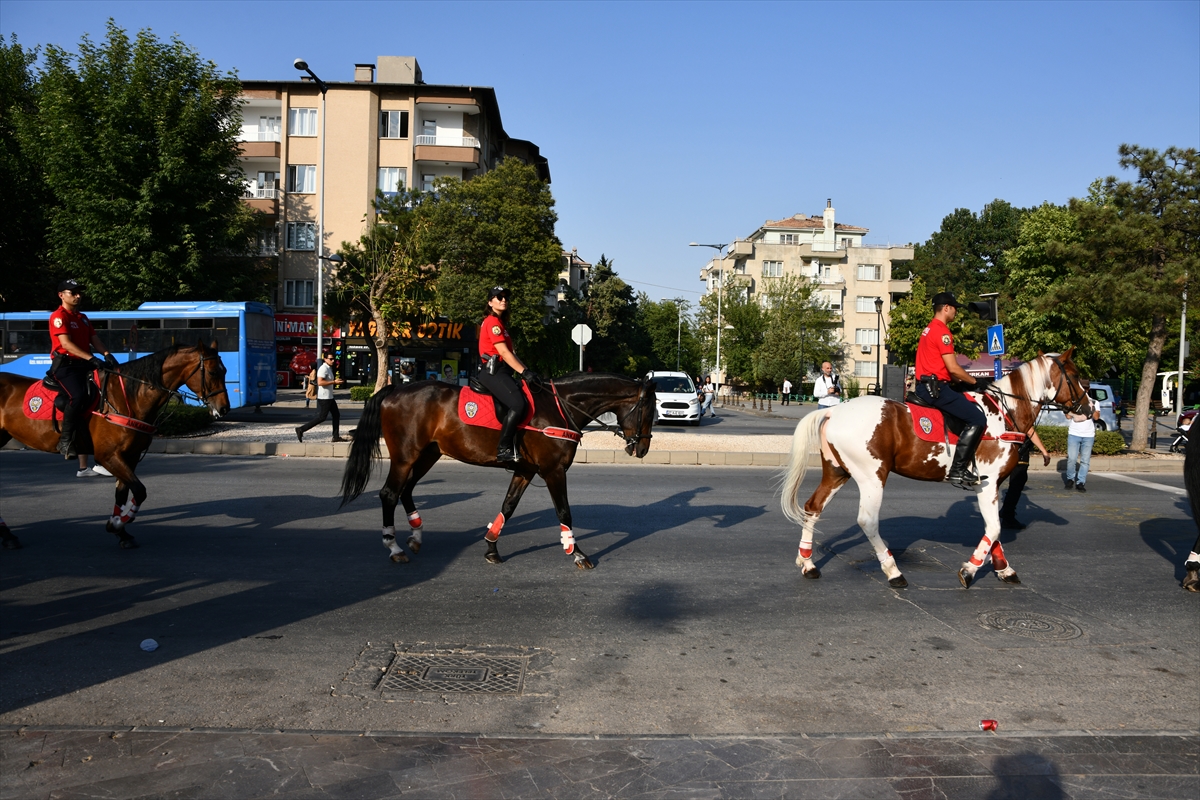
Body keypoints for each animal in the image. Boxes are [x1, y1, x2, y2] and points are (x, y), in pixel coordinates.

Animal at [0, 345, 229, 551]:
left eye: (225, 370)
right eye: (213, 372)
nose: (225, 408)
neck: (127, 398)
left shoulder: (130, 456)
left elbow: (123, 494)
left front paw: (121, 531)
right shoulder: (108, 456)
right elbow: (140, 490)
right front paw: (117, 524)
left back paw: (7, 535)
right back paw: (7, 535)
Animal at [338, 376, 657, 568]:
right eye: (649, 410)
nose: (642, 448)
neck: (559, 408)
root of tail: (396, 389)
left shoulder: (526, 470)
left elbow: (509, 506)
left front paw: (491, 546)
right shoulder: (553, 471)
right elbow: (564, 512)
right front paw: (576, 551)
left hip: (428, 454)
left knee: (406, 490)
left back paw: (415, 536)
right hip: (405, 457)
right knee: (389, 494)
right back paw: (394, 547)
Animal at [777, 350, 1099, 587]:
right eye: (1076, 376)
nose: (1090, 409)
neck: (1004, 413)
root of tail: (834, 409)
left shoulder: (990, 486)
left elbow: (992, 530)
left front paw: (1003, 568)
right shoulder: (988, 484)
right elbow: (994, 528)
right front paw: (970, 569)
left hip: (838, 472)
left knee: (813, 508)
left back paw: (807, 562)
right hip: (871, 477)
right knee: (867, 521)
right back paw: (892, 570)